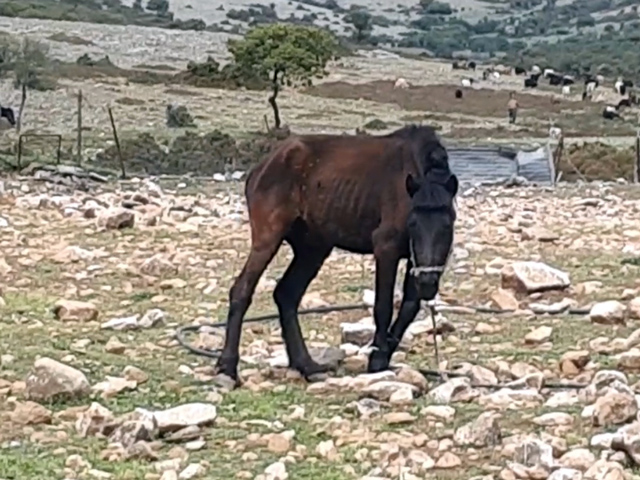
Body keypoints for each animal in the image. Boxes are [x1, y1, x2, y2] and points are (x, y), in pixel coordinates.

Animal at [218, 125, 458, 384]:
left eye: (448, 225)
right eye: (412, 223)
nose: (428, 282)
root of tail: (261, 168)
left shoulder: (415, 260)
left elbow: (409, 308)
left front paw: (382, 356)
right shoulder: (386, 248)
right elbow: (383, 306)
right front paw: (376, 361)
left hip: (314, 248)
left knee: (287, 295)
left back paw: (306, 365)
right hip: (268, 236)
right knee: (242, 290)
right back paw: (227, 366)